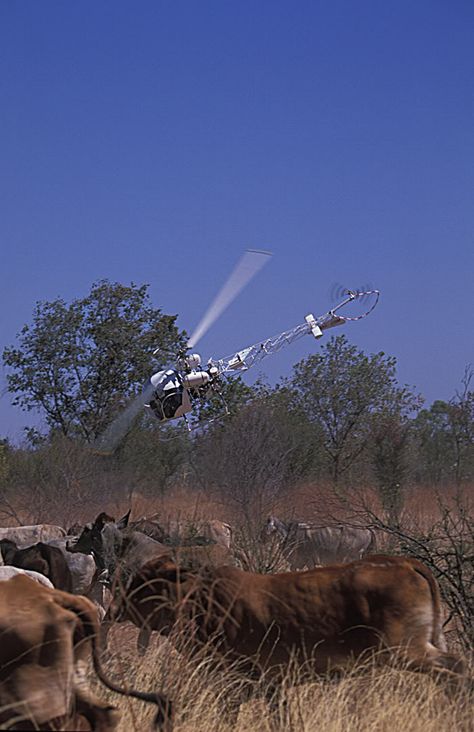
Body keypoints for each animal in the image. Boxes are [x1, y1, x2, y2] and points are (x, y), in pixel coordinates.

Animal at [114, 556, 466, 716]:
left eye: (144, 582)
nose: (117, 607)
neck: (200, 601)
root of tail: (402, 561)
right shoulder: (269, 685)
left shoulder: (241, 679)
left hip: (407, 651)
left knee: (456, 667)